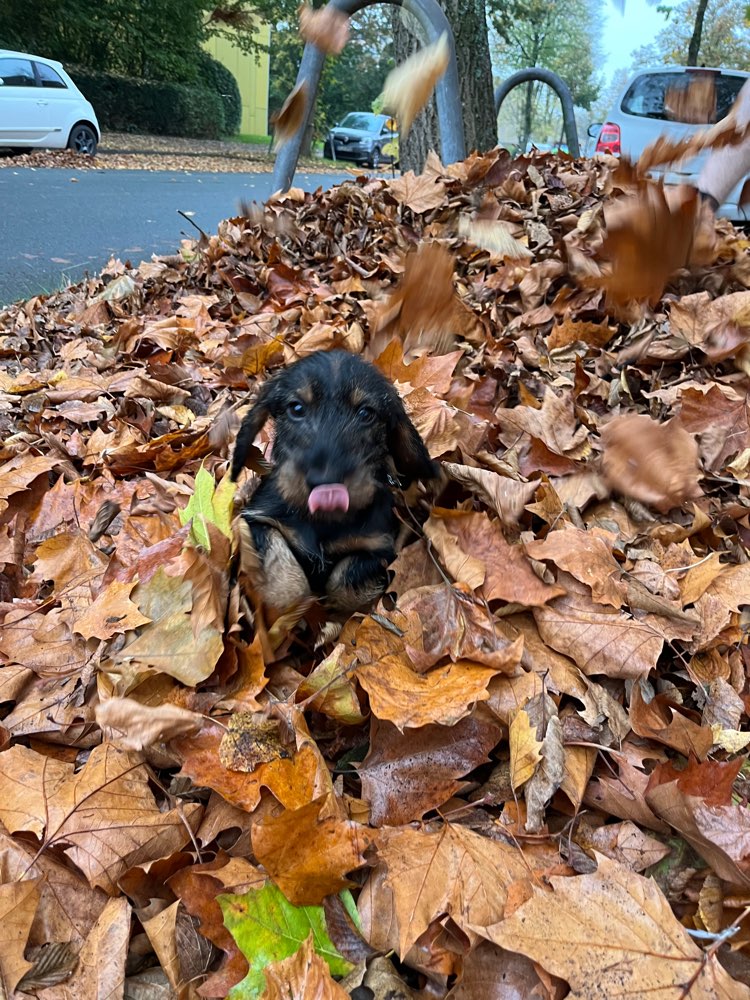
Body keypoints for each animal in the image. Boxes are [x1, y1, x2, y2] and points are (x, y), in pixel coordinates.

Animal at [232, 352, 438, 616]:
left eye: (366, 413)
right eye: (296, 408)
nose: (325, 485)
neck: (323, 522)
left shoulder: (376, 548)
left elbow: (344, 582)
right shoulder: (257, 519)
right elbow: (288, 583)